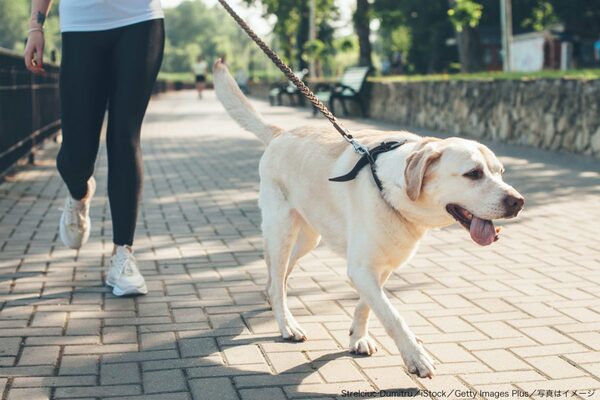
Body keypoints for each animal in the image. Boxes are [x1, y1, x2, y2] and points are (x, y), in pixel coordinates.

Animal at [213, 60, 524, 378]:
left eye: (501, 172)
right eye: (473, 173)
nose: (517, 202)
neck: (391, 187)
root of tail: (280, 133)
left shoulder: (380, 265)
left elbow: (367, 306)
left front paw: (358, 337)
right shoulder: (362, 268)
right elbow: (392, 315)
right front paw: (415, 357)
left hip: (309, 238)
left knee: (279, 275)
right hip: (282, 231)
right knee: (277, 277)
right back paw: (286, 323)